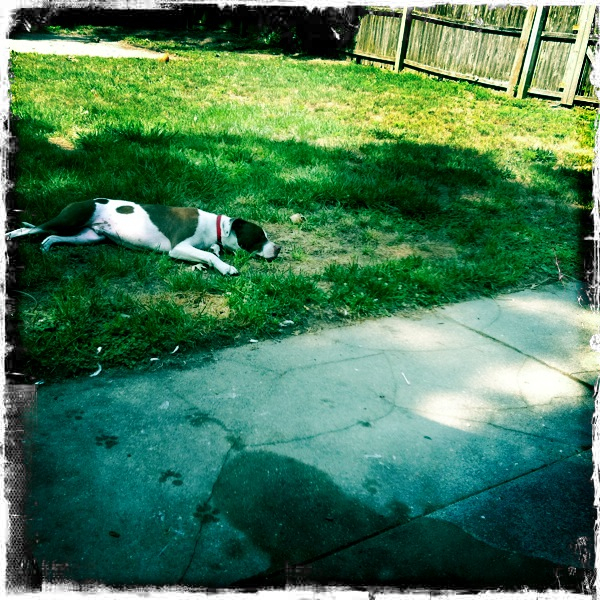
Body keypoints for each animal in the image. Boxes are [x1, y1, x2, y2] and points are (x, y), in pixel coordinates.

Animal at [5, 198, 281, 276]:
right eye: (259, 237)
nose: (278, 248)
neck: (214, 227)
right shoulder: (178, 247)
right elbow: (210, 255)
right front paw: (225, 267)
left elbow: (209, 252)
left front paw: (204, 261)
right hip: (68, 220)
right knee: (32, 229)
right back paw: (12, 234)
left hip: (87, 237)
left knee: (54, 236)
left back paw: (48, 245)